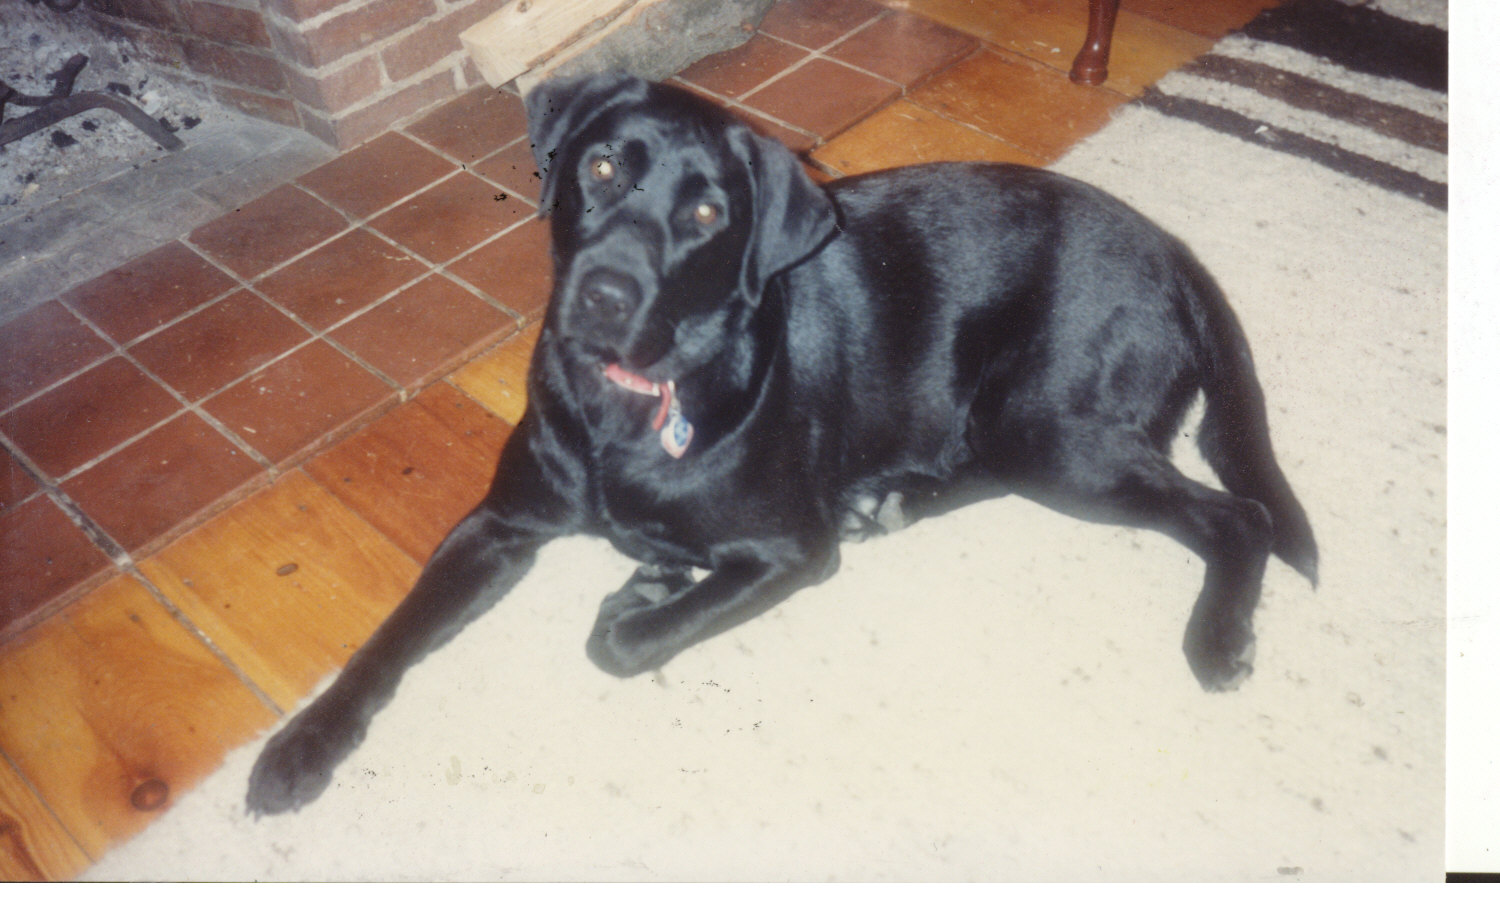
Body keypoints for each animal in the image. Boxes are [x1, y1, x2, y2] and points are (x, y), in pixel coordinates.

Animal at [246, 72, 1317, 815]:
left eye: (706, 213)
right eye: (601, 168)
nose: (604, 294)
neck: (628, 407)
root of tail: (1175, 250)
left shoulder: (791, 550)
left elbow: (624, 644)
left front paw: (643, 592)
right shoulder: (501, 523)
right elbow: (390, 637)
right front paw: (302, 745)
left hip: (1053, 431)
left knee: (1239, 516)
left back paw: (1218, 639)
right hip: (1017, 429)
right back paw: (891, 499)